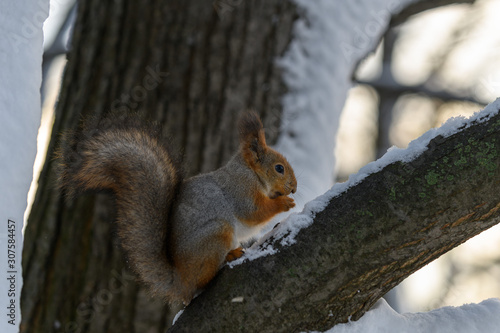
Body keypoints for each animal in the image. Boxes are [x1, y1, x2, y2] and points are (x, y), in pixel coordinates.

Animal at [60, 111, 298, 304]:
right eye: (279, 168)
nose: (294, 188)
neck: (251, 173)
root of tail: (180, 281)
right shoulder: (240, 190)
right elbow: (254, 212)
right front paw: (284, 203)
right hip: (216, 233)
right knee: (201, 281)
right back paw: (228, 257)